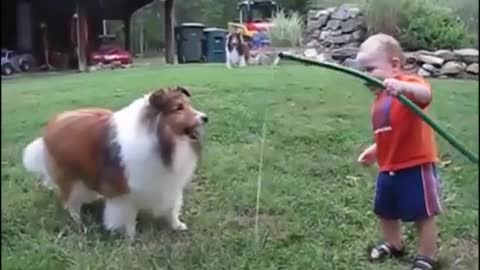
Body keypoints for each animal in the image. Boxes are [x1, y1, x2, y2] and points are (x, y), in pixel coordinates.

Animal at [22, 86, 207, 238]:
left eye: (188, 104)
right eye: (178, 108)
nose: (205, 117)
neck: (160, 140)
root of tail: (53, 122)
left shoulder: (169, 183)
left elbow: (172, 207)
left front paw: (177, 225)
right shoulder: (124, 192)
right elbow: (128, 216)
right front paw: (130, 237)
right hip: (70, 177)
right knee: (70, 201)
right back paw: (78, 220)